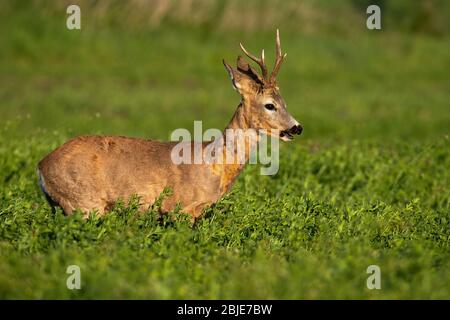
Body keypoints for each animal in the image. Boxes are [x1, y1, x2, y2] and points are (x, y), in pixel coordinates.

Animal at [37, 30, 302, 220]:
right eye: (270, 105)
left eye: (285, 102)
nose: (297, 127)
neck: (213, 162)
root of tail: (41, 167)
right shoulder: (180, 208)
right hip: (83, 203)